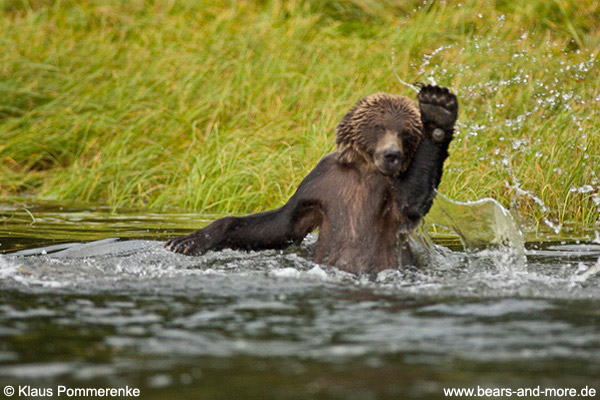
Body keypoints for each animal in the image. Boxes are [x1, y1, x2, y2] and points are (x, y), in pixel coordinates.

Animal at [166, 83, 458, 274]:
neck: (366, 171)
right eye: (379, 126)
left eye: (406, 133)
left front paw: (438, 112)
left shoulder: (393, 191)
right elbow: (284, 223)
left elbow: (412, 201)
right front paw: (187, 241)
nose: (391, 155)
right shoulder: (322, 180)